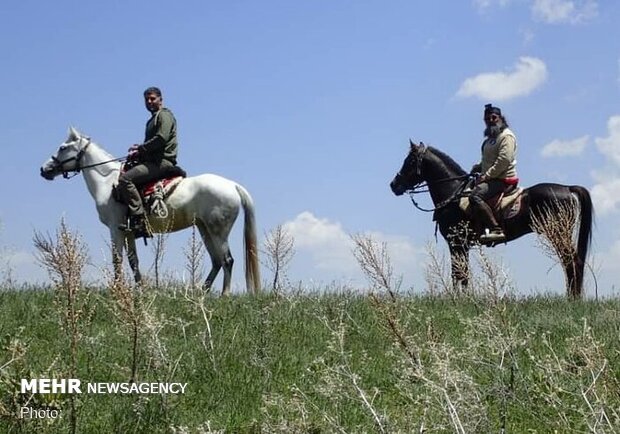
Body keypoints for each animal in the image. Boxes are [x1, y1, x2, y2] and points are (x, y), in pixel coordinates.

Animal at [39, 126, 260, 294]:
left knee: (227, 260)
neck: (107, 183)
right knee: (216, 261)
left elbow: (117, 260)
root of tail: (233, 185)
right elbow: (133, 261)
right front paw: (140, 289)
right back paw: (202, 291)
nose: (44, 169)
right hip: (204, 228)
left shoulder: (115, 228)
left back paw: (224, 294)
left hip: (218, 230)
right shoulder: (128, 232)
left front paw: (118, 291)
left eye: (62, 148)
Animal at [390, 141, 592, 300]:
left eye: (410, 161)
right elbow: (462, 273)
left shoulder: (456, 242)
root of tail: (567, 188)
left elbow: (458, 272)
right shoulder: (461, 245)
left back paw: (572, 298)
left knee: (571, 262)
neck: (454, 194)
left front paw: (458, 299)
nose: (394, 185)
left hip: (558, 234)